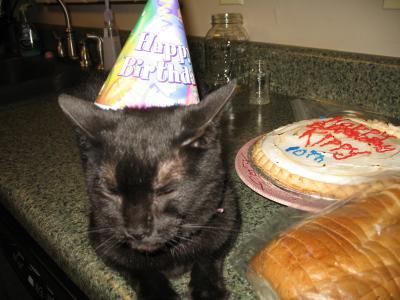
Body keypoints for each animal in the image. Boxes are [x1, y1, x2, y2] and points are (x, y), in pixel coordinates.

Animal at [58, 79, 241, 300]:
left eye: (166, 190)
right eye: (111, 191)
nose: (136, 231)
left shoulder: (227, 216)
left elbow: (208, 256)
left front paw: (207, 291)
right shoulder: (103, 238)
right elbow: (139, 269)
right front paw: (160, 295)